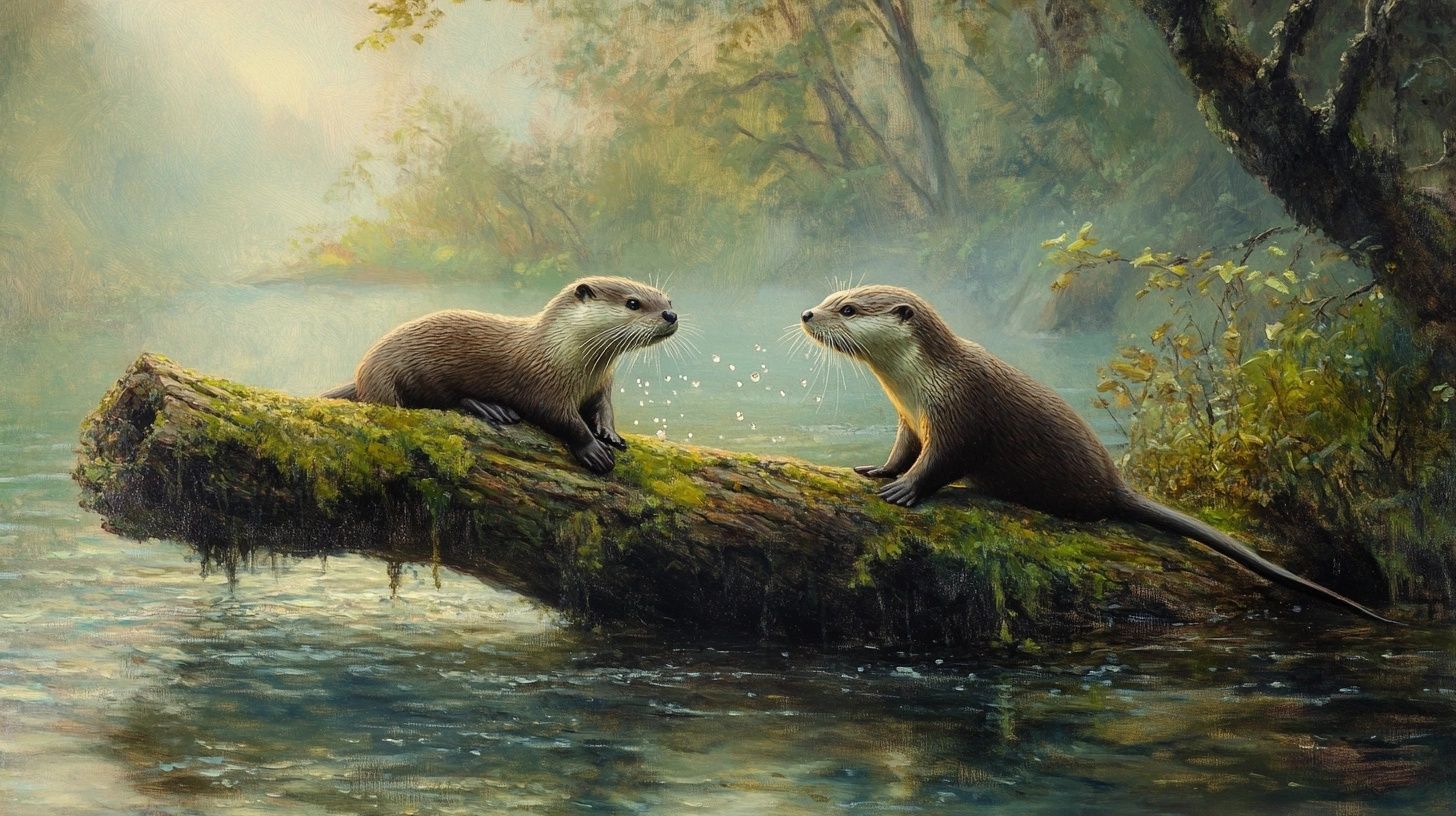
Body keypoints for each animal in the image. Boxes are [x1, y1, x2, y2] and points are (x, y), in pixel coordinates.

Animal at [321, 276, 678, 474]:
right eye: (633, 303)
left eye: (668, 299)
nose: (671, 314)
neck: (563, 355)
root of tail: (361, 373)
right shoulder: (542, 385)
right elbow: (562, 419)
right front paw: (593, 449)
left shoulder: (601, 385)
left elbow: (603, 408)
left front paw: (610, 433)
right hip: (389, 379)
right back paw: (490, 408)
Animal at [800, 284, 1400, 624]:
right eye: (830, 299)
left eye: (846, 309)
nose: (807, 313)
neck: (919, 382)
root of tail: (1116, 483)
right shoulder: (910, 419)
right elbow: (903, 451)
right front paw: (878, 469)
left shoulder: (959, 412)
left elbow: (940, 463)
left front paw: (905, 491)